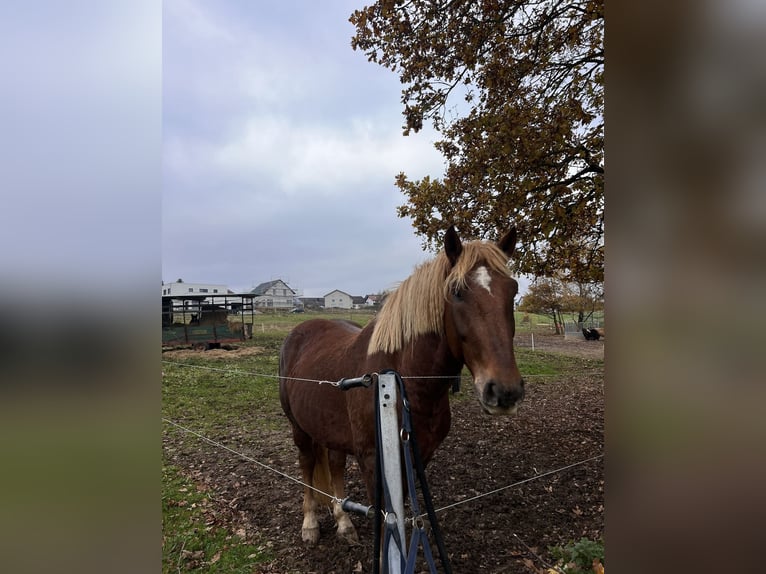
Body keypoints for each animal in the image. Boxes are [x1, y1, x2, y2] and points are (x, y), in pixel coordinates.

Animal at [278, 226, 525, 545]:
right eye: (457, 292)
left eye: (513, 290)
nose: (505, 391)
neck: (404, 383)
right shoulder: (372, 461)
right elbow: (387, 526)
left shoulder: (418, 457)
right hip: (299, 428)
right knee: (307, 464)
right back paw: (309, 524)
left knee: (334, 465)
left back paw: (344, 522)